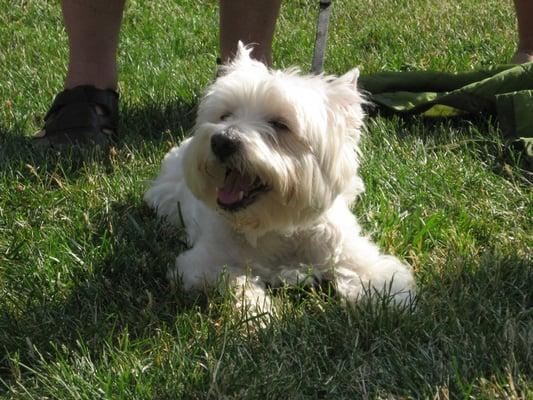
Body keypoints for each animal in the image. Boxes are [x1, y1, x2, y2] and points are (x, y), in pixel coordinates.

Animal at [145, 42, 416, 314]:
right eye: (225, 115)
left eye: (280, 124)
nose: (222, 141)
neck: (277, 227)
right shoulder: (200, 264)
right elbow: (234, 278)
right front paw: (258, 310)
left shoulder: (350, 251)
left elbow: (376, 275)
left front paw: (395, 301)